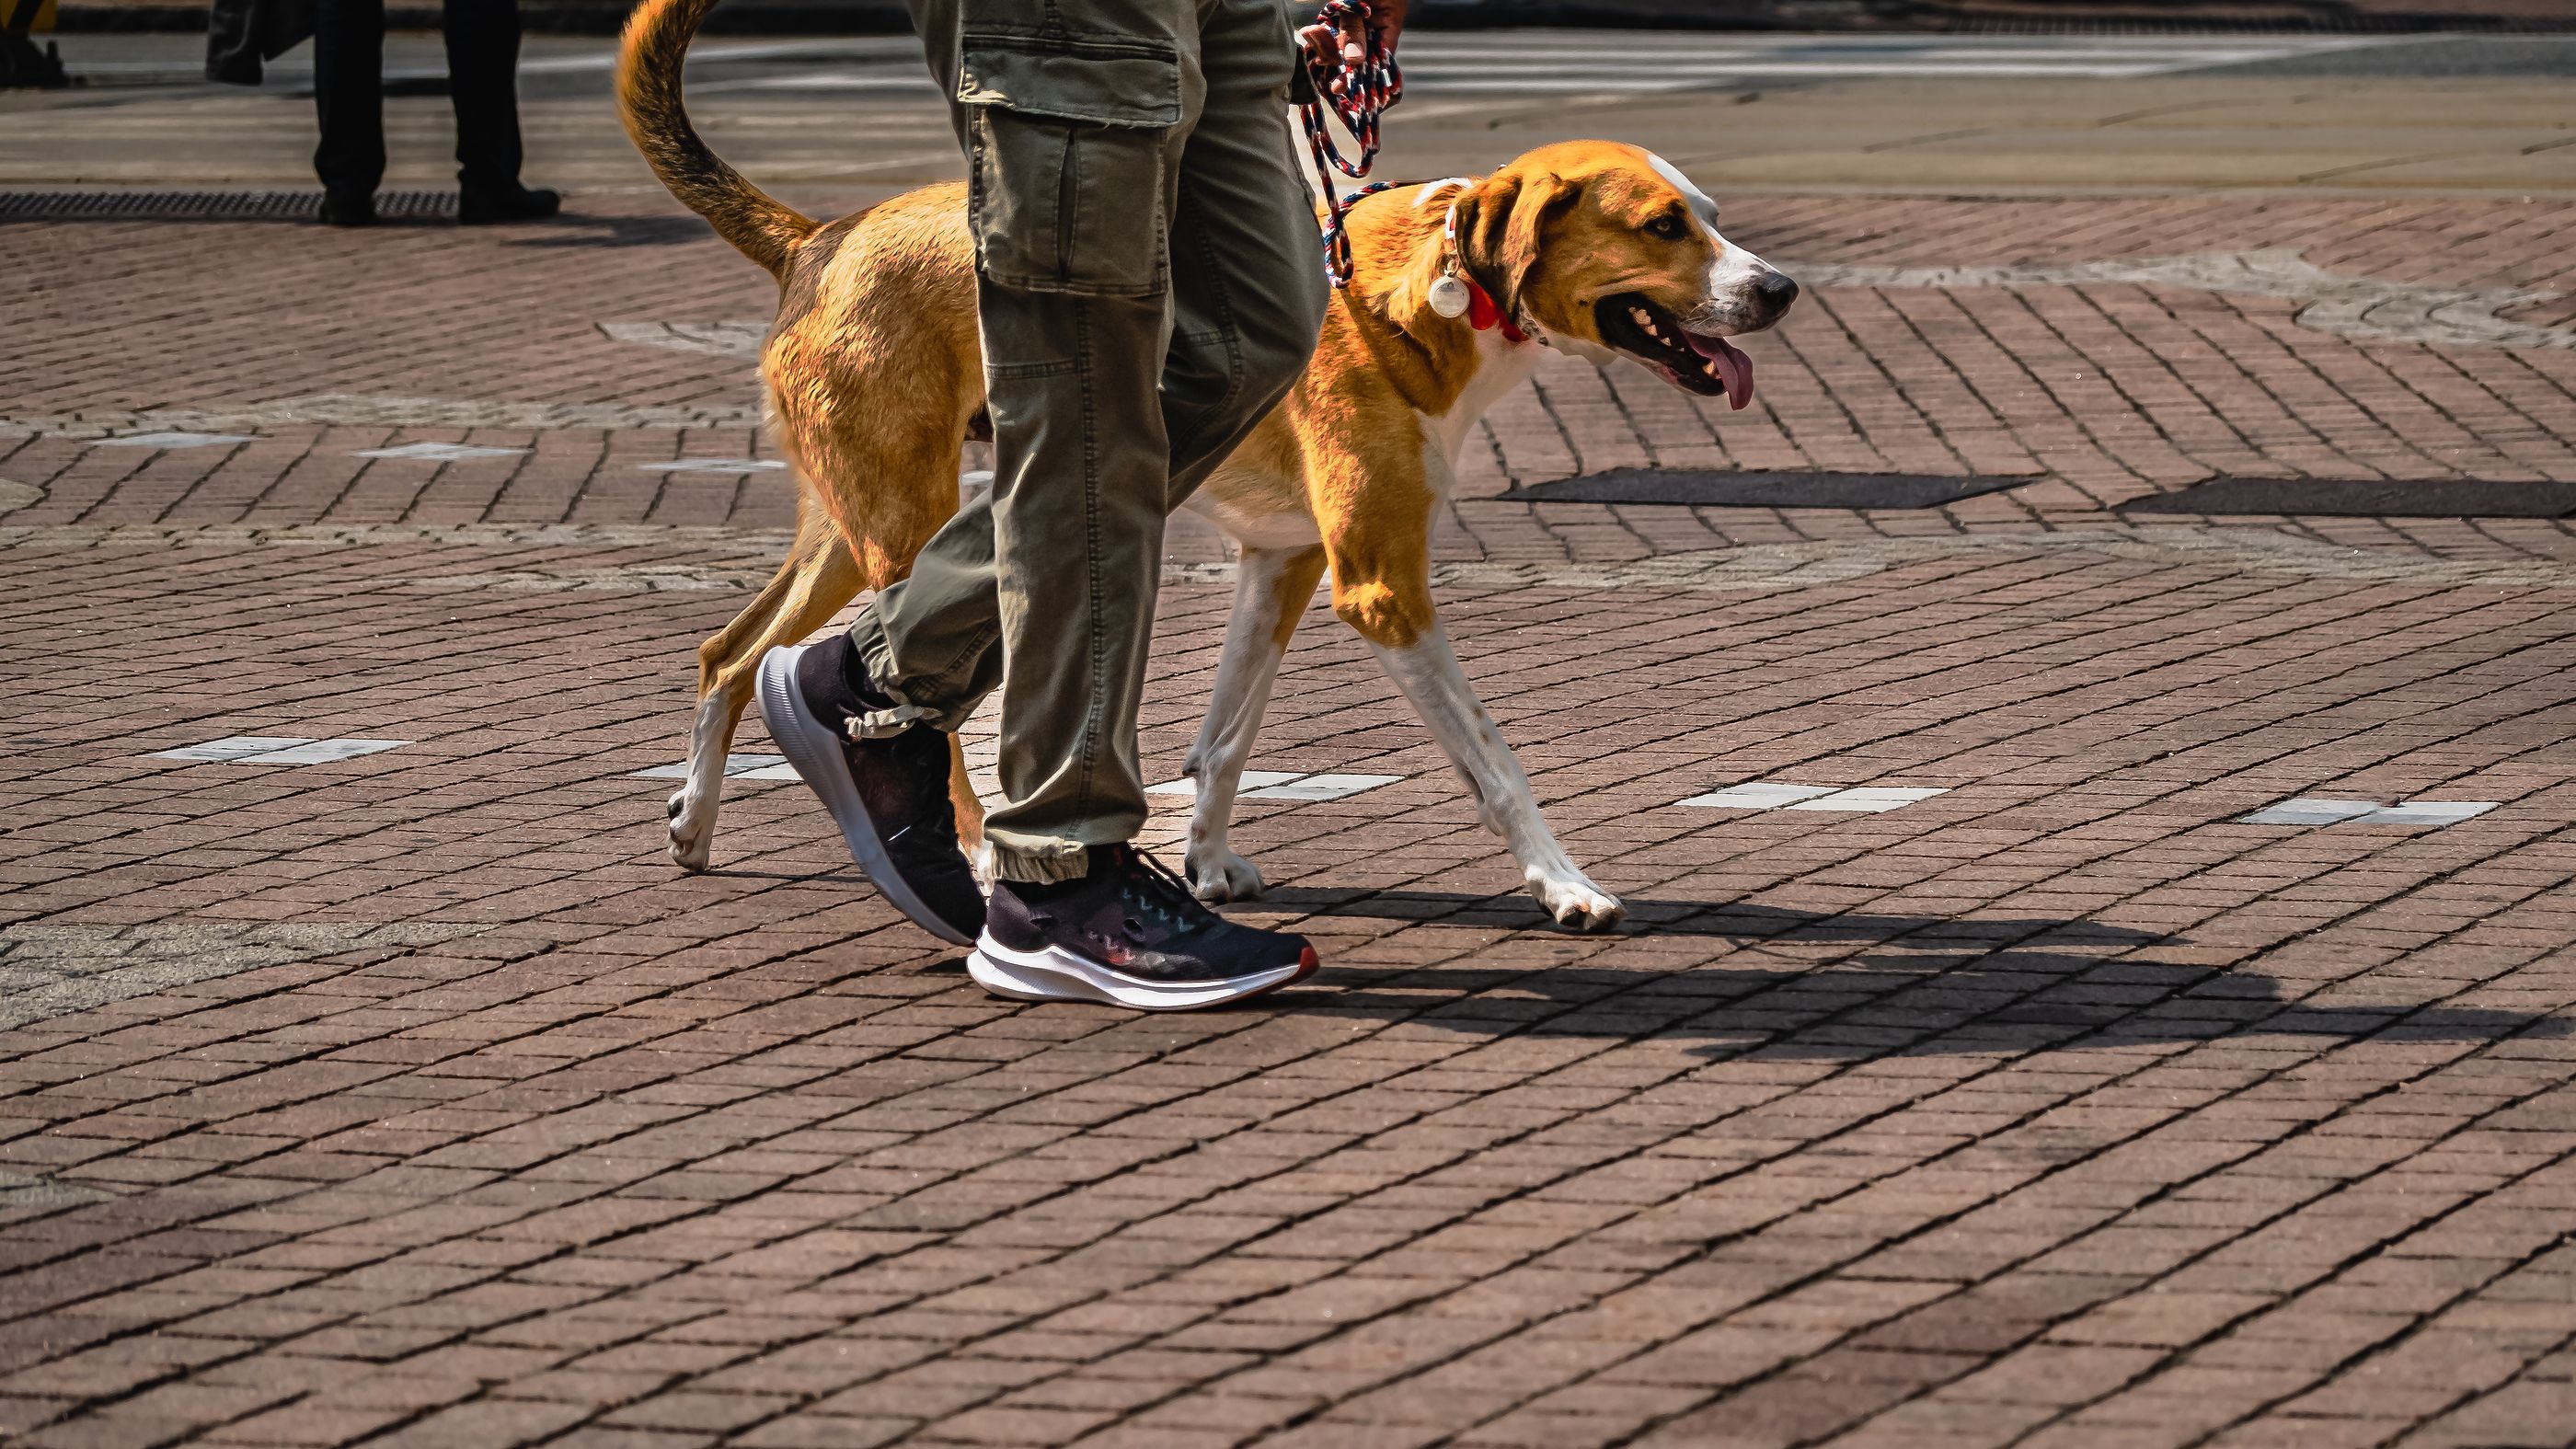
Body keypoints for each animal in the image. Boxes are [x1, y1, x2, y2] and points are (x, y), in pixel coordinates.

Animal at [618, 0, 1792, 927]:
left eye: (1712, 219)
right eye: (1662, 226)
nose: (1778, 289)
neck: (1429, 287)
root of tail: (819, 234)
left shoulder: (1284, 561)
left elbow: (1225, 737)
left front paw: (1208, 861)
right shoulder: (1381, 585)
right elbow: (1493, 760)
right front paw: (1564, 885)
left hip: (849, 517)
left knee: (731, 654)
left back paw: (695, 824)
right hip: (903, 522)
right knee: (905, 696)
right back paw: (965, 854)